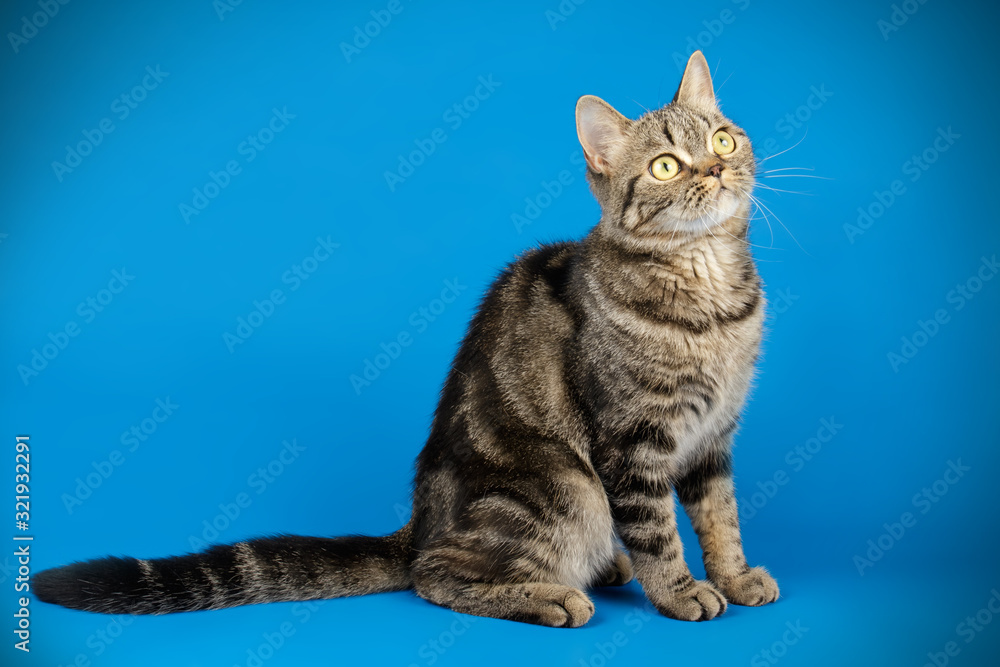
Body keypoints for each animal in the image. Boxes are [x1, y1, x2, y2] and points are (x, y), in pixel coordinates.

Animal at [37, 51, 780, 628]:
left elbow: (720, 516)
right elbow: (659, 531)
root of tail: (421, 520)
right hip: (567, 488)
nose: (713, 171)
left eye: (721, 141)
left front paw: (735, 575)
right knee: (435, 574)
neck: (711, 296)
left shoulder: (713, 438)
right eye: (665, 167)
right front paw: (682, 592)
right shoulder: (632, 445)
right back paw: (550, 595)